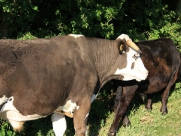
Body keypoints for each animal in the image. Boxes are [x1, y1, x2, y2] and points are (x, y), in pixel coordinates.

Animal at [0, 33, 148, 135]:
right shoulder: (83, 103)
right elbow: (81, 130)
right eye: (135, 56)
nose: (147, 73)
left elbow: (59, 129)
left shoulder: (59, 107)